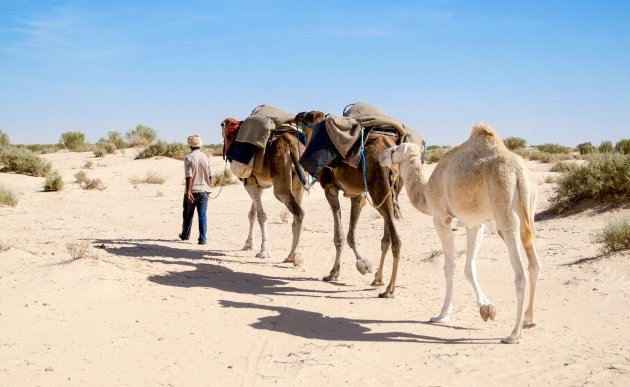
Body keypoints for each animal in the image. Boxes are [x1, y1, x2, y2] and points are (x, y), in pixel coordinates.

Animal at [221, 110, 324, 266]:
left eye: (227, 135)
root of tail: (291, 144)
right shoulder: (258, 185)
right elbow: (252, 214)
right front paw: (249, 244)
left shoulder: (249, 183)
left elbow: (261, 216)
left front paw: (263, 251)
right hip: (298, 180)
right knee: (297, 213)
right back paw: (291, 255)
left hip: (280, 185)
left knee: (298, 211)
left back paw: (295, 256)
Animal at [298, 112, 408, 300]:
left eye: (304, 121)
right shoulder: (357, 195)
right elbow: (350, 235)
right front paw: (362, 265)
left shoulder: (330, 188)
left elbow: (339, 236)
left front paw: (333, 273)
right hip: (390, 192)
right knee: (386, 238)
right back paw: (378, 279)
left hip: (379, 190)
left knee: (396, 241)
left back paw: (389, 290)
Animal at [380, 123, 544, 344]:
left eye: (395, 149)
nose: (382, 155)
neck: (427, 191)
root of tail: (520, 174)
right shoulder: (474, 223)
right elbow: (469, 267)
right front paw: (486, 308)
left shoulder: (441, 218)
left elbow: (450, 268)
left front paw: (442, 315)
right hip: (528, 212)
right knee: (534, 265)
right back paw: (529, 319)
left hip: (505, 213)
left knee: (520, 275)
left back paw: (513, 334)